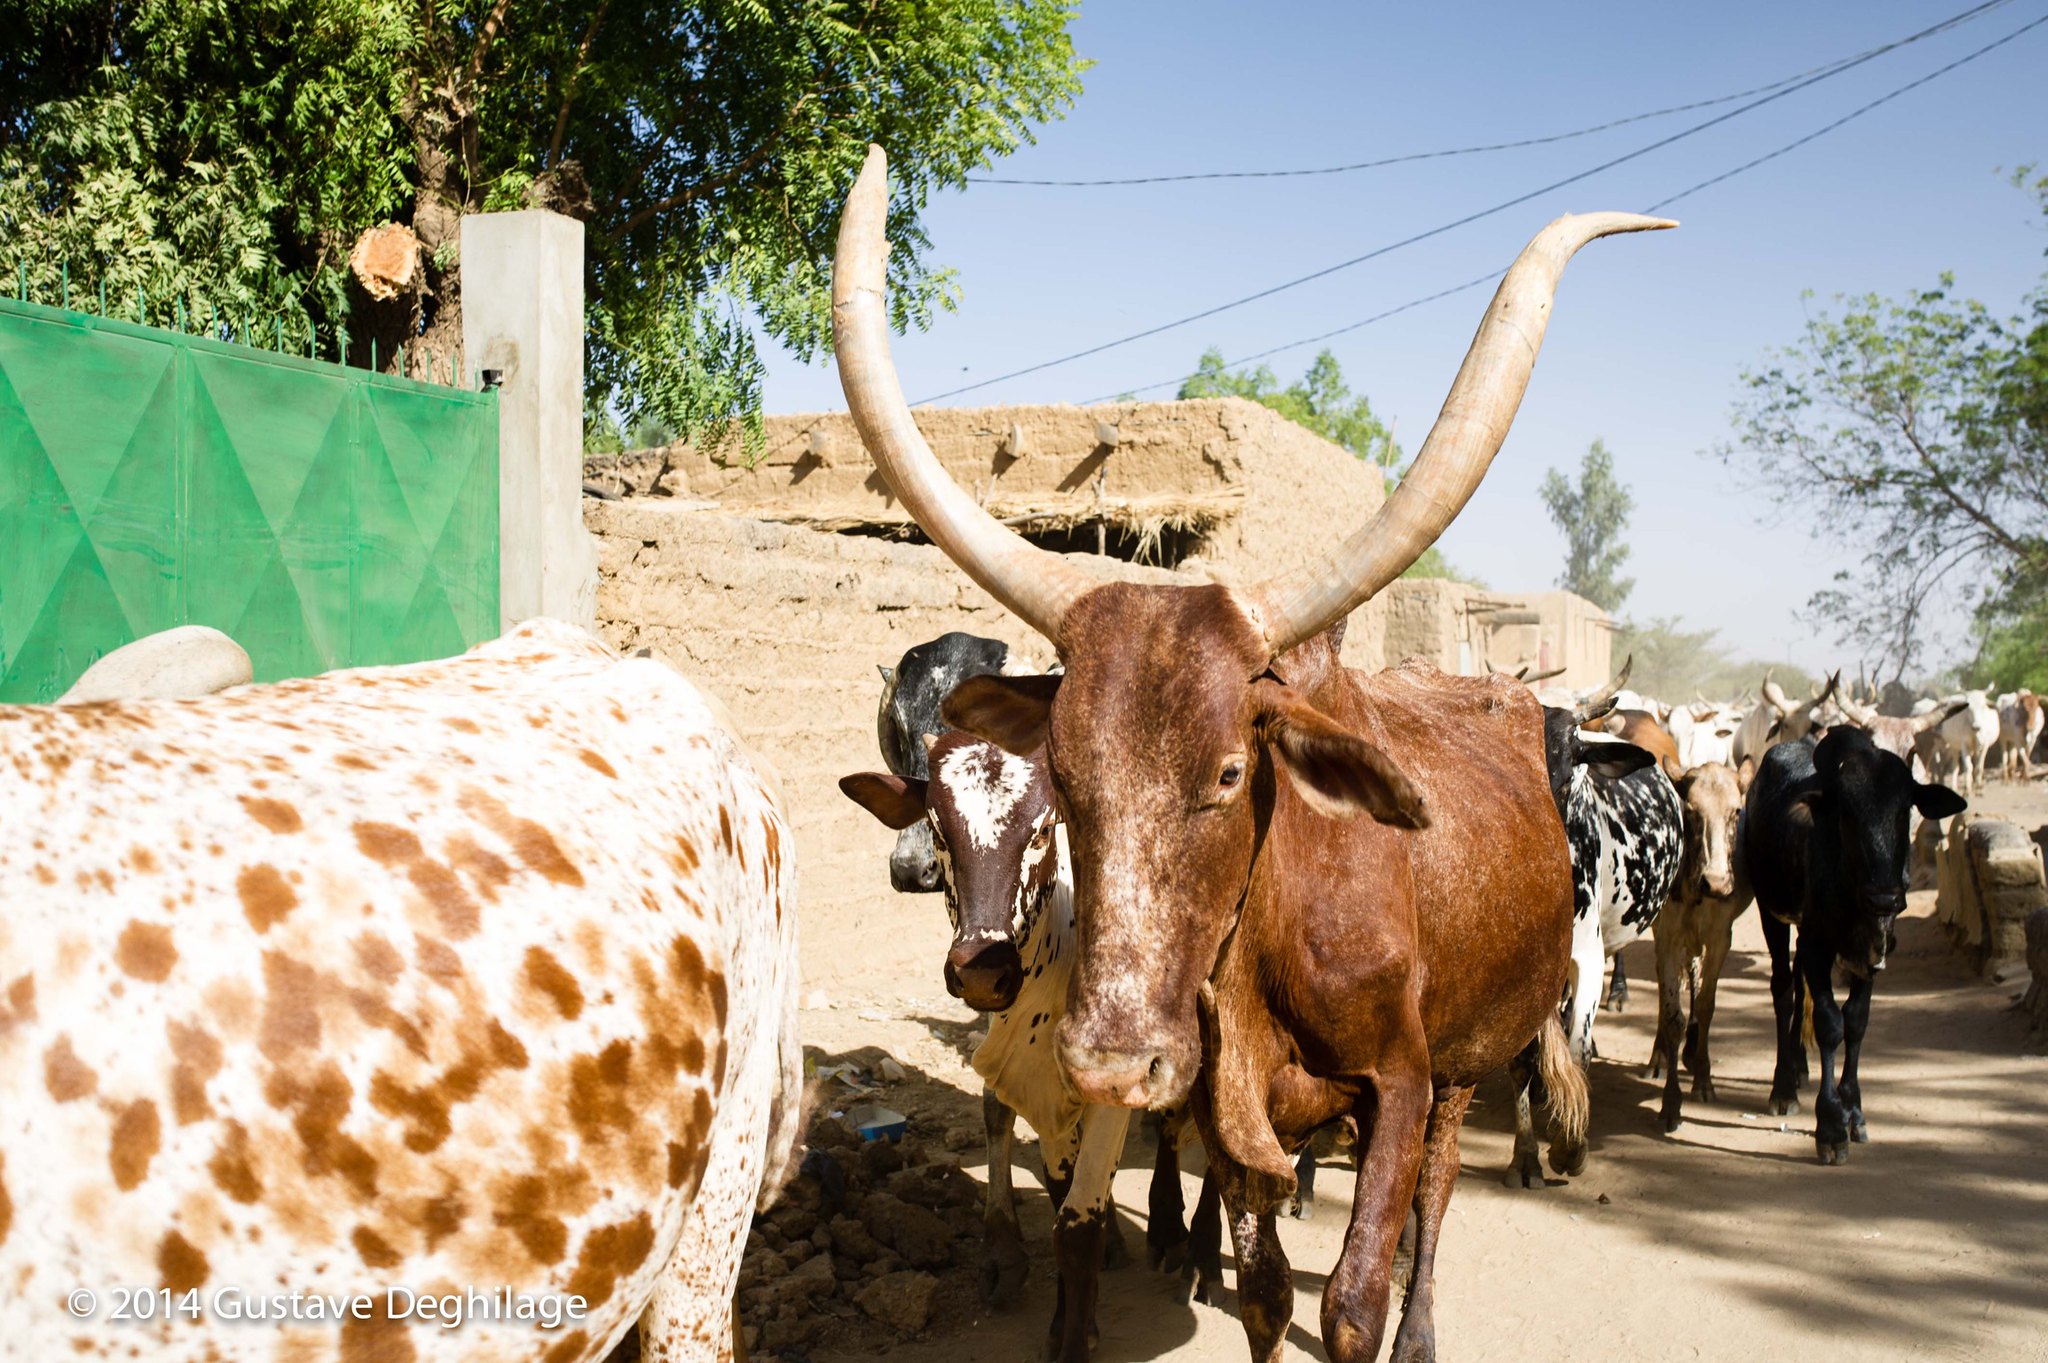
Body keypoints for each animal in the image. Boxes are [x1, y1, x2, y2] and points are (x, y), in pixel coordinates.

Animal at [1744, 728, 1966, 1162]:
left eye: (1904, 809)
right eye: (1847, 813)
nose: (1885, 898)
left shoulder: (1873, 950)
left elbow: (1857, 1021)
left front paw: (1854, 1111)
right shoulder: (1818, 943)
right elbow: (1830, 1023)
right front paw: (1831, 1125)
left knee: (1799, 987)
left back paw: (1799, 1068)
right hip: (1771, 913)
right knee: (1784, 990)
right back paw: (1783, 1086)